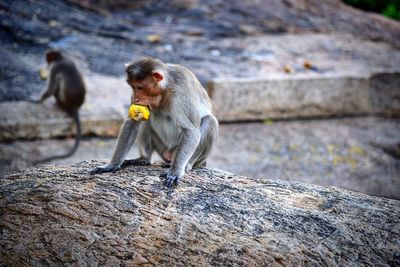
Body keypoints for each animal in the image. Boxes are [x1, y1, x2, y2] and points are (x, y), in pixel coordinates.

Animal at [90, 57, 219, 187]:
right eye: (133, 87)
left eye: (140, 87)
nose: (136, 99)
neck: (165, 89)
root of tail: (168, 155)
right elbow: (132, 122)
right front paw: (113, 164)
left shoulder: (180, 93)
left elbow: (191, 131)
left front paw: (175, 172)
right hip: (161, 147)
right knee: (145, 121)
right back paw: (143, 159)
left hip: (182, 153)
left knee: (210, 121)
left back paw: (187, 165)